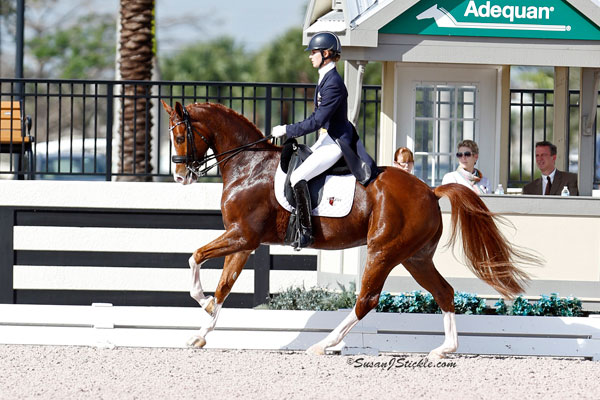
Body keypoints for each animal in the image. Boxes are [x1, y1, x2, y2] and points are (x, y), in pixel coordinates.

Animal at [161, 100, 536, 358]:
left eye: (179, 136)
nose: (180, 177)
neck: (247, 164)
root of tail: (430, 191)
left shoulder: (242, 235)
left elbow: (194, 257)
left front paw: (202, 301)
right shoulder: (243, 241)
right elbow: (224, 285)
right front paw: (201, 331)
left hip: (383, 251)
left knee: (366, 299)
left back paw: (325, 343)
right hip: (415, 257)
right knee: (444, 292)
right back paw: (444, 349)